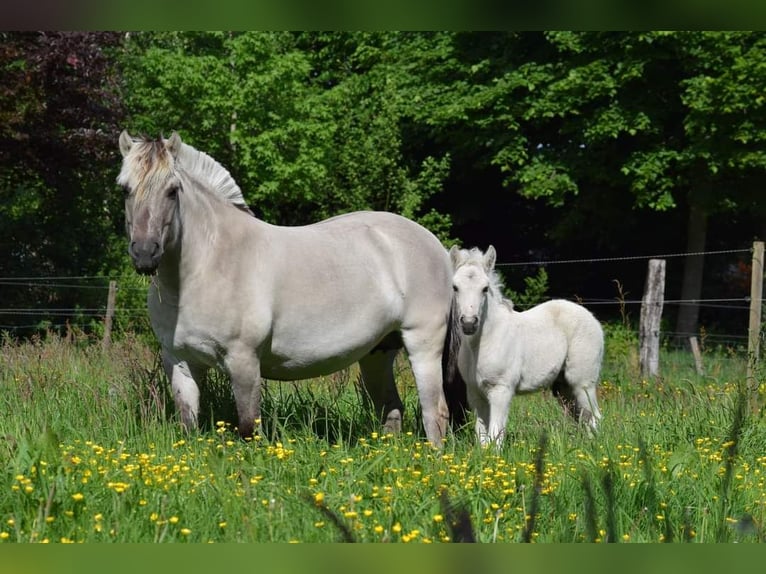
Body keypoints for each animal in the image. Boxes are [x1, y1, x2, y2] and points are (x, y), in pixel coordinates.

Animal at [118, 132, 468, 450]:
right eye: (124, 188)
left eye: (172, 191)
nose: (145, 253)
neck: (209, 265)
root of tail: (435, 245)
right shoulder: (179, 362)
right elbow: (188, 425)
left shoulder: (243, 360)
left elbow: (249, 427)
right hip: (378, 351)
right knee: (392, 409)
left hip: (423, 345)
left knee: (435, 413)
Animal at [450, 245, 608, 448]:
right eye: (455, 287)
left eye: (485, 288)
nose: (469, 323)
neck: (483, 342)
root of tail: (593, 319)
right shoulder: (475, 393)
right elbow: (482, 437)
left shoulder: (501, 390)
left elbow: (496, 435)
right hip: (563, 387)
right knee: (583, 418)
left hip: (583, 382)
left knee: (594, 417)